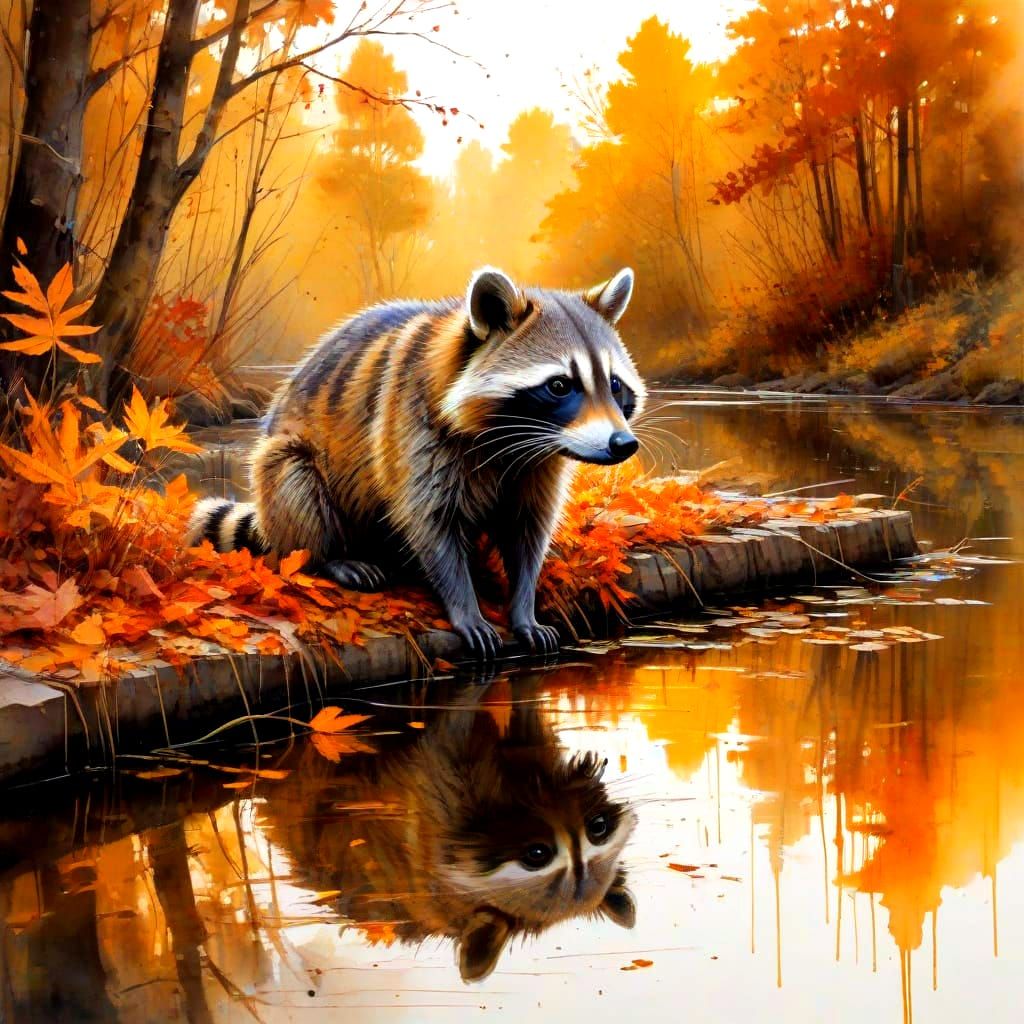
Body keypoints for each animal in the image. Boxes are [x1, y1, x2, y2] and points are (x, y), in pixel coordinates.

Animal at [187, 267, 646, 657]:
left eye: (614, 384)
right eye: (560, 385)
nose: (623, 444)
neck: (514, 442)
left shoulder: (538, 464)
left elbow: (527, 530)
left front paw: (522, 605)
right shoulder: (411, 426)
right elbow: (430, 524)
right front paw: (465, 606)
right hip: (286, 463)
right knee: (295, 485)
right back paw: (328, 556)